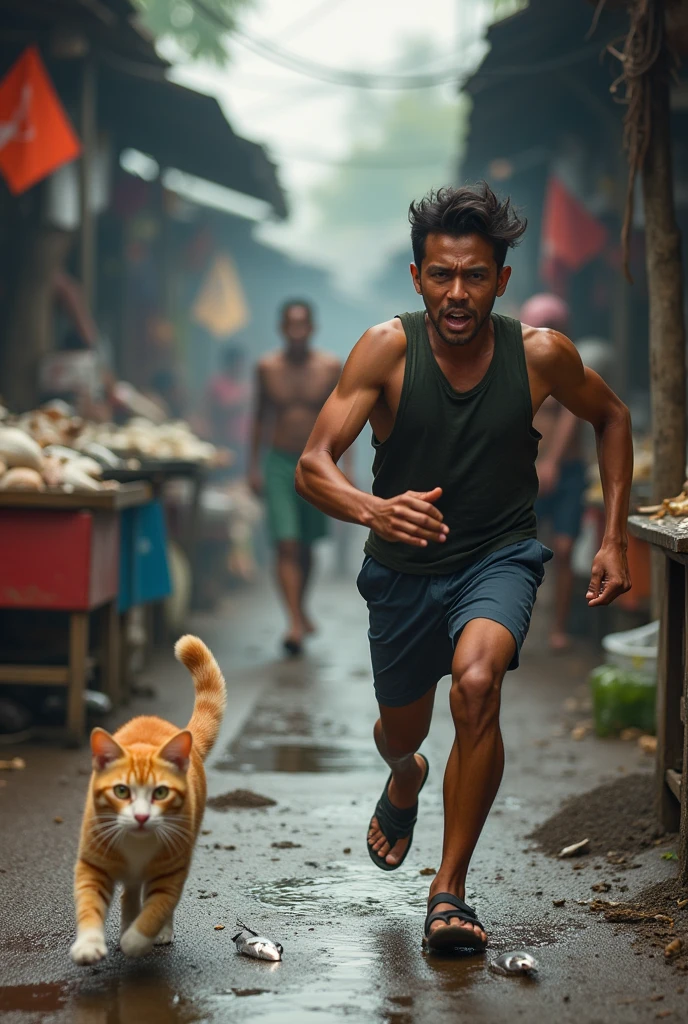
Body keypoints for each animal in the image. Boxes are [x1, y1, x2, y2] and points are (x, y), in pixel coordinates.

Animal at [69, 634, 225, 962]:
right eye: (121, 791)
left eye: (161, 792)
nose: (141, 816)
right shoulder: (92, 865)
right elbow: (89, 904)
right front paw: (89, 944)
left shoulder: (172, 871)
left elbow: (157, 908)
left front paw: (138, 939)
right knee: (130, 892)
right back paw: (128, 919)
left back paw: (156, 931)